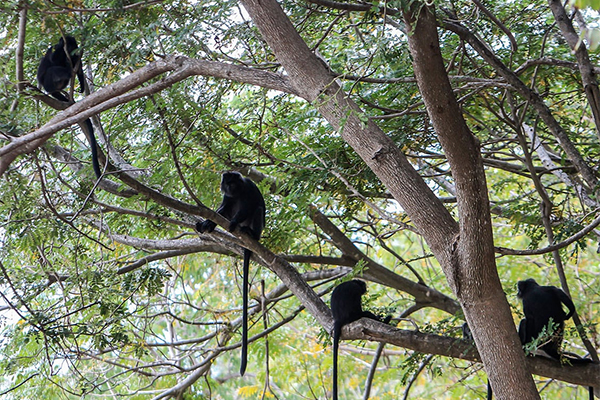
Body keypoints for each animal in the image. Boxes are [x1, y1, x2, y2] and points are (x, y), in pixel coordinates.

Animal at [36, 36, 101, 178]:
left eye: (74, 46)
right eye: (69, 46)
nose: (72, 51)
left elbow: (78, 63)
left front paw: (81, 82)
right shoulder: (56, 50)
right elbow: (53, 59)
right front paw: (62, 44)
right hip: (49, 81)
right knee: (53, 69)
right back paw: (68, 70)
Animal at [196, 171, 264, 376]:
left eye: (235, 181)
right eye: (228, 182)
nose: (232, 186)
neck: (237, 191)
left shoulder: (248, 187)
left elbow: (250, 205)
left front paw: (233, 222)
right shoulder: (228, 196)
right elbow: (223, 208)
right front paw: (208, 222)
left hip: (256, 227)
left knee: (257, 209)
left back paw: (247, 231)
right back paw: (210, 226)